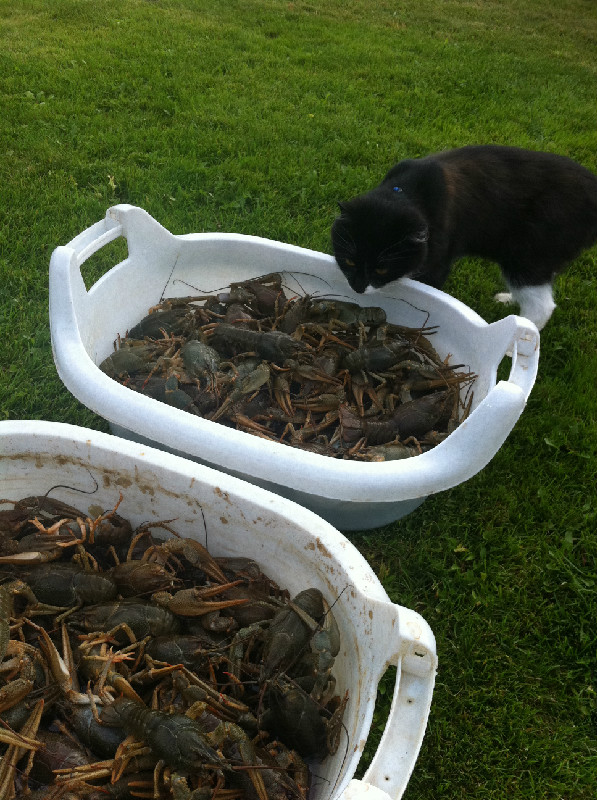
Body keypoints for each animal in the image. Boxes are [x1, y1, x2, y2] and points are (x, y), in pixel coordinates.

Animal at [331, 145, 597, 329]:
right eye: (350, 261)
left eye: (382, 269)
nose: (357, 288)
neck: (403, 193)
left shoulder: (437, 264)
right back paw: (507, 300)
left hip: (528, 253)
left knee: (542, 304)